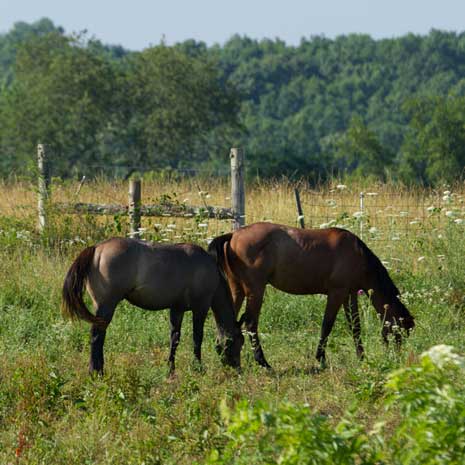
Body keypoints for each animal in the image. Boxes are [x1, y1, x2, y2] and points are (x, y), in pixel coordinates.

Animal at [63, 237, 245, 376]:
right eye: (239, 342)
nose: (238, 370)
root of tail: (96, 249)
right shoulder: (200, 308)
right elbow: (197, 338)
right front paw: (197, 367)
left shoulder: (177, 309)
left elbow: (174, 338)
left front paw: (170, 369)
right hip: (106, 306)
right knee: (97, 336)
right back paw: (96, 371)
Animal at [207, 223, 414, 368]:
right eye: (400, 332)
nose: (396, 358)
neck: (357, 254)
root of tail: (233, 235)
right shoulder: (336, 293)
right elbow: (327, 325)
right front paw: (320, 358)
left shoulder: (350, 295)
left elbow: (355, 326)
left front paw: (361, 357)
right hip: (255, 291)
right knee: (250, 323)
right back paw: (262, 362)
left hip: (237, 290)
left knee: (227, 323)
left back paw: (225, 355)